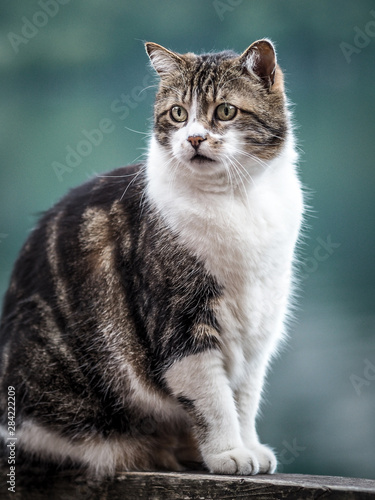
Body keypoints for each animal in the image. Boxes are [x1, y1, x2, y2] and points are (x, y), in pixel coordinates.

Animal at [0, 39, 304, 476]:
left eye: (225, 111)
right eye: (178, 114)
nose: (194, 138)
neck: (237, 199)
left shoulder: (258, 330)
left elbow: (244, 397)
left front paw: (248, 445)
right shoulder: (181, 324)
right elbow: (214, 400)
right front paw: (228, 452)